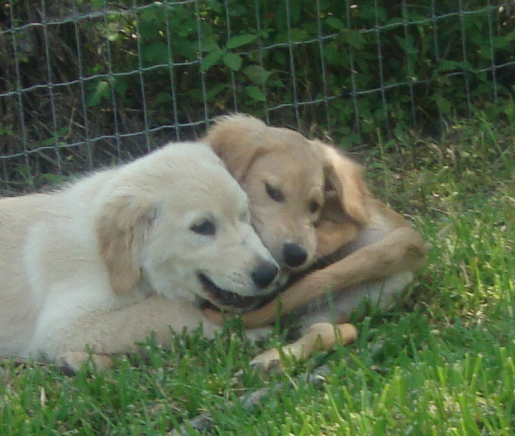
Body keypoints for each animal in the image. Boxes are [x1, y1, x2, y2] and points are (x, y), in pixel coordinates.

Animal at [0, 141, 278, 372]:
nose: (269, 273)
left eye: (244, 215)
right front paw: (249, 333)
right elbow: (168, 311)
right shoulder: (65, 324)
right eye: (203, 227)